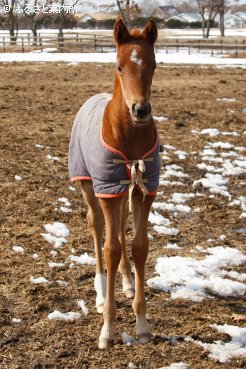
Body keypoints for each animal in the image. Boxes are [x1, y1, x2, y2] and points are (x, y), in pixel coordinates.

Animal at [68, 19, 160, 348]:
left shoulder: (144, 189)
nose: (140, 110)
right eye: (120, 67)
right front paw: (107, 330)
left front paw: (142, 324)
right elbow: (111, 249)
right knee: (96, 229)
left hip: (124, 190)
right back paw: (99, 293)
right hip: (89, 185)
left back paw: (128, 283)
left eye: (153, 65)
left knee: (120, 227)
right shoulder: (106, 190)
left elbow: (139, 246)